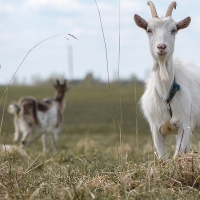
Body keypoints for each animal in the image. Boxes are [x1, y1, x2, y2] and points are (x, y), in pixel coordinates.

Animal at [134, 1, 200, 160]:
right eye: (149, 30)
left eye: (174, 29)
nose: (161, 47)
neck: (165, 91)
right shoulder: (156, 130)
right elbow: (163, 160)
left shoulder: (184, 125)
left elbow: (177, 157)